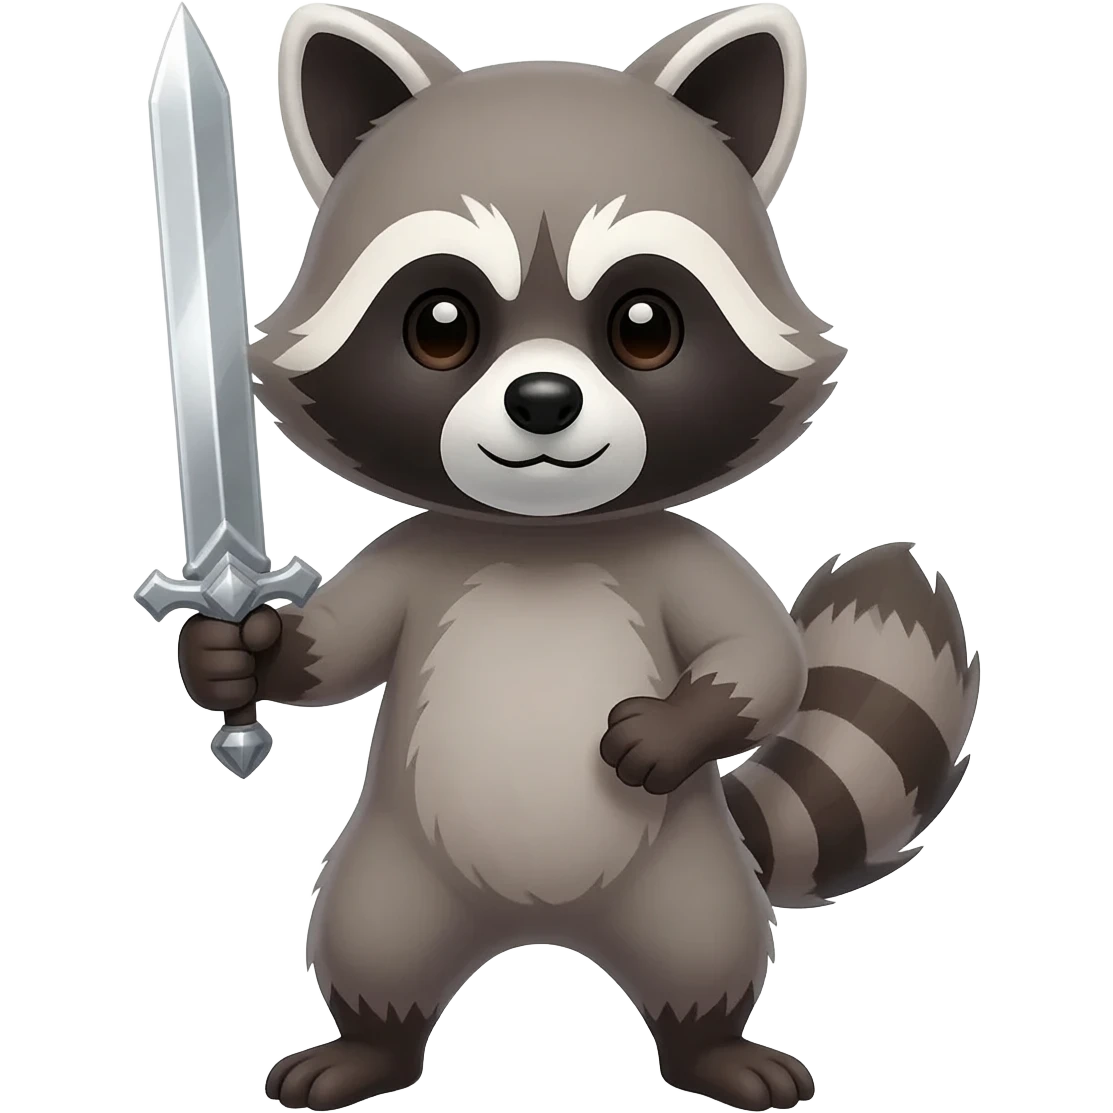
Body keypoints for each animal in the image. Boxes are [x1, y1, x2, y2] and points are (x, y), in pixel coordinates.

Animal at [176, 4, 980, 1110]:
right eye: (440, 325)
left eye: (644, 325)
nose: (544, 402)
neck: (541, 537)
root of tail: (541, 922)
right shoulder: (420, 551)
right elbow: (333, 653)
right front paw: (239, 654)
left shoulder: (677, 549)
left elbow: (765, 661)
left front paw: (676, 726)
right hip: (395, 869)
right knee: (370, 937)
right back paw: (368, 1045)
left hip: (686, 878)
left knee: (705, 952)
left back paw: (713, 1046)